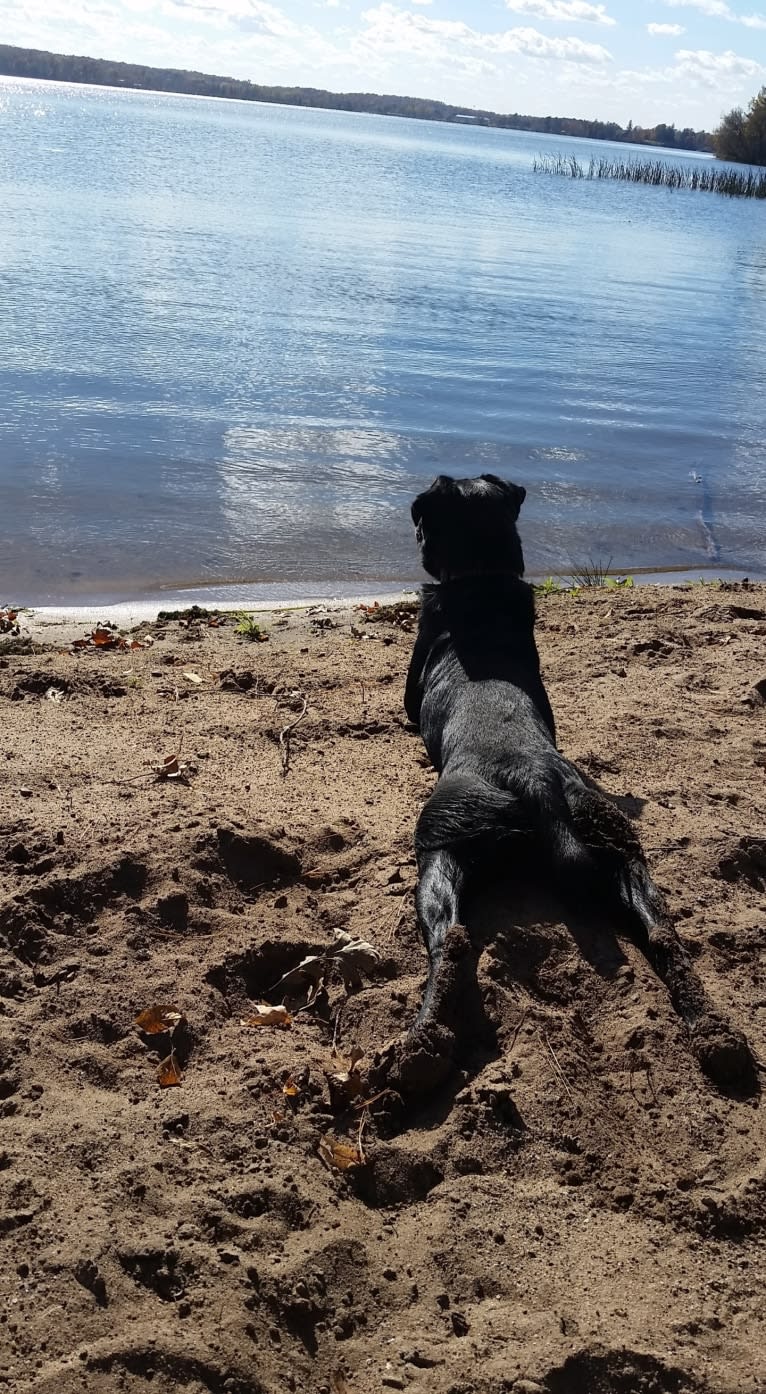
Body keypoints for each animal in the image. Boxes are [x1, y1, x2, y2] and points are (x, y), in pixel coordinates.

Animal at [399, 473, 753, 1092]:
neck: (481, 580)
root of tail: (533, 775)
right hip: (618, 847)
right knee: (663, 934)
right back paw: (717, 1038)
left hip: (440, 848)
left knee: (450, 942)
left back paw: (422, 1050)